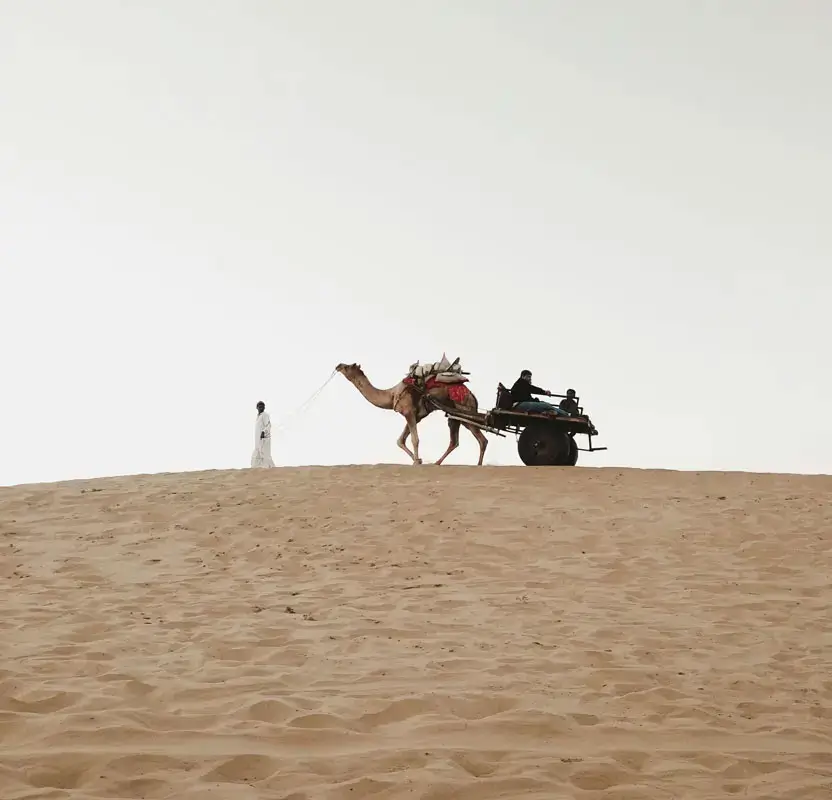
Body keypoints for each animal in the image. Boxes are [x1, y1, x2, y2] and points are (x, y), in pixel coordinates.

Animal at [335, 363, 488, 466]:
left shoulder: (409, 412)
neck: (391, 395)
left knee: (480, 439)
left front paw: (416, 461)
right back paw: (438, 463)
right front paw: (418, 460)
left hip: (464, 409)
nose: (338, 365)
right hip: (456, 416)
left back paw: (477, 464)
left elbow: (415, 439)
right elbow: (400, 440)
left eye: (348, 366)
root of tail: (471, 395)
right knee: (456, 441)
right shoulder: (416, 416)